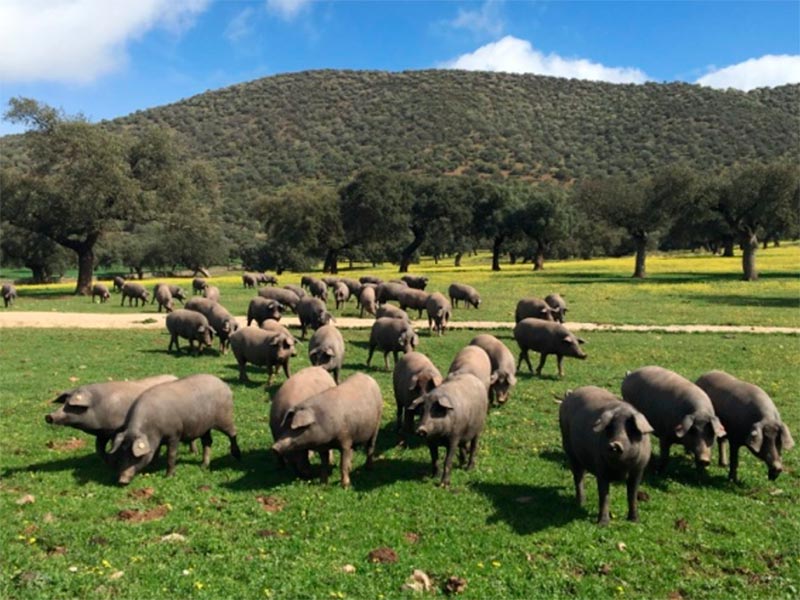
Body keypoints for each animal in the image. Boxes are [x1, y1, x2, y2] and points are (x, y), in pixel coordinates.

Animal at [46, 376, 180, 464]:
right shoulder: (102, 433)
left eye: (72, 406)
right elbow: (99, 449)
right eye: (65, 402)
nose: (49, 416)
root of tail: (174, 376)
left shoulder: (115, 429)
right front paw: (106, 460)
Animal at [111, 376, 239, 488]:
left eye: (135, 456)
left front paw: (168, 476)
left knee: (233, 433)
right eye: (121, 453)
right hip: (205, 427)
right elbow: (156, 453)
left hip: (225, 417)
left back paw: (237, 456)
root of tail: (223, 384)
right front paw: (152, 468)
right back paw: (203, 466)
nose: (122, 480)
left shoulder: (174, 434)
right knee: (208, 442)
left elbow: (171, 455)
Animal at [560, 386, 652, 524]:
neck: (622, 467)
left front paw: (635, 520)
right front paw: (603, 524)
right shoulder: (600, 468)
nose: (614, 444)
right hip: (570, 450)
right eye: (610, 428)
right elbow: (604, 496)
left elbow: (632, 494)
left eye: (630, 430)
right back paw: (581, 504)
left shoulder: (639, 469)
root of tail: (571, 394)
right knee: (578, 477)